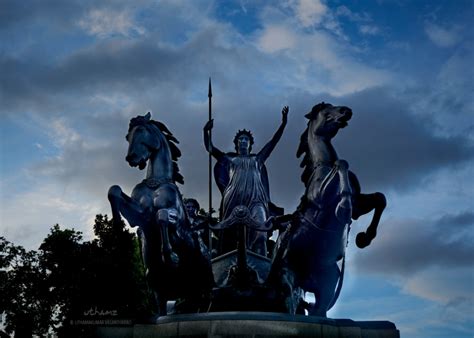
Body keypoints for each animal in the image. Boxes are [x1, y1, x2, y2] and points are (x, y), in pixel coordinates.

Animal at [108, 112, 212, 316]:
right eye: (127, 136)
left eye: (141, 130)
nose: (131, 158)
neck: (155, 182)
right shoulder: (139, 216)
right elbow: (114, 190)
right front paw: (117, 230)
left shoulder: (174, 217)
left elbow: (162, 215)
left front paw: (171, 257)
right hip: (157, 286)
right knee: (163, 306)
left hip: (203, 283)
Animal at [270, 102, 386, 316]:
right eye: (325, 111)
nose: (347, 111)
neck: (323, 164)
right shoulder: (322, 197)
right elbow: (342, 163)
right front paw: (343, 208)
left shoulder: (359, 205)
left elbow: (380, 199)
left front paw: (365, 238)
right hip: (287, 281)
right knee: (290, 305)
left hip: (328, 282)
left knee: (319, 309)